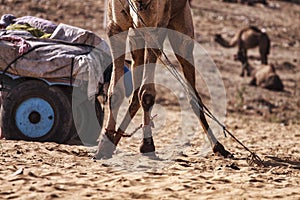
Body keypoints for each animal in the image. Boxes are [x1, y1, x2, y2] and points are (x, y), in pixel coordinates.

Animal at [94, 0, 232, 159]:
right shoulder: (115, 27)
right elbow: (115, 91)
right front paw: (104, 145)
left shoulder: (155, 27)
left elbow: (146, 93)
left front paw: (147, 145)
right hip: (137, 35)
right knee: (134, 93)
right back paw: (114, 142)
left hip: (182, 28)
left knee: (193, 95)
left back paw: (218, 146)